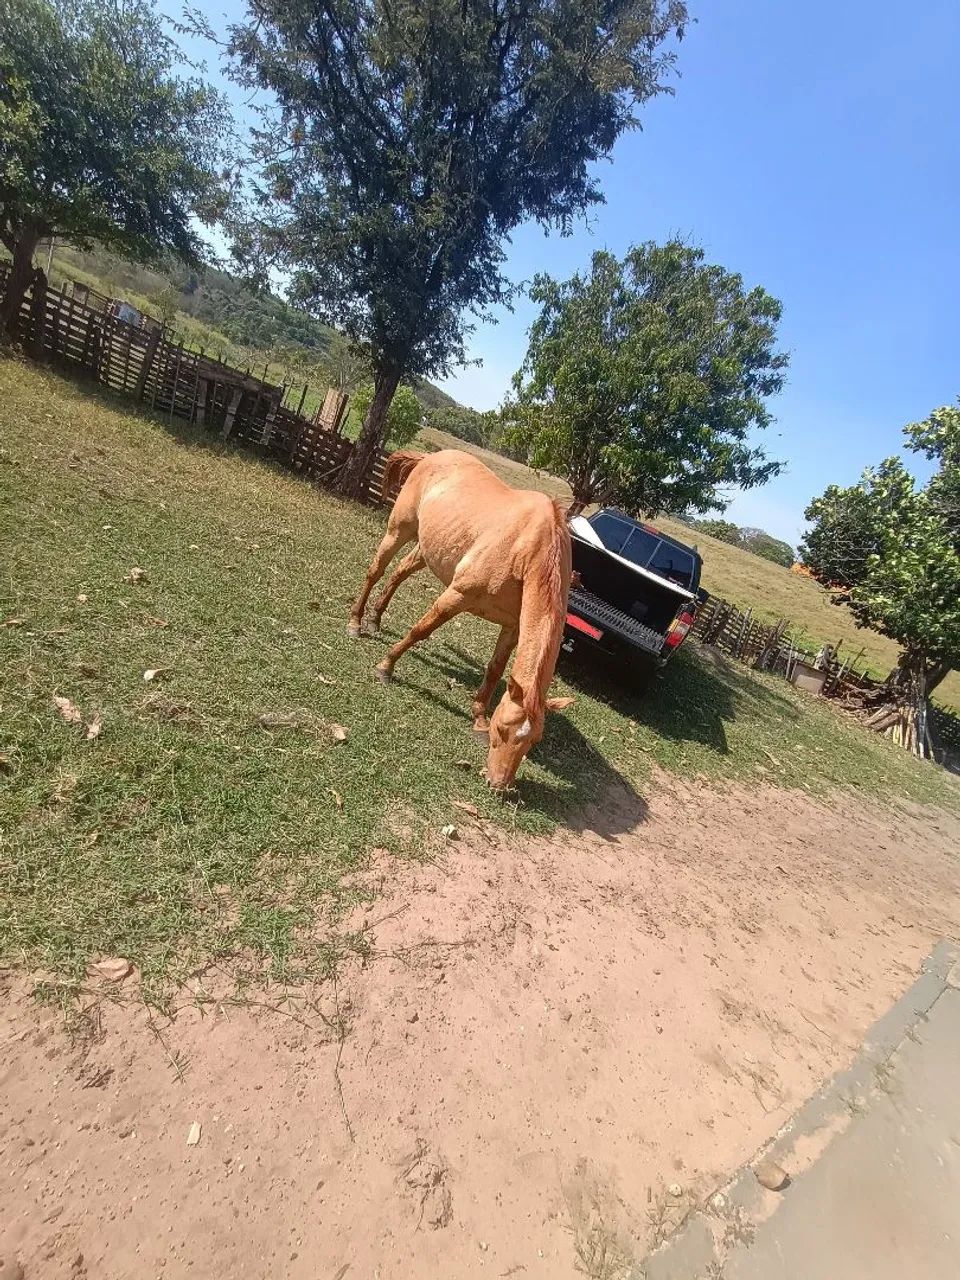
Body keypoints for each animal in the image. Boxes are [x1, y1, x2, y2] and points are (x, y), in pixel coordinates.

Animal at [348, 448, 574, 789]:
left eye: (533, 742)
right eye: (503, 730)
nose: (499, 783)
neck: (525, 550)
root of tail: (431, 457)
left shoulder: (513, 627)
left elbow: (495, 670)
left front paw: (478, 717)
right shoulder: (456, 596)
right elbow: (420, 630)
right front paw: (385, 667)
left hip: (428, 549)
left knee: (400, 571)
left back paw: (375, 618)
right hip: (399, 530)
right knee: (376, 570)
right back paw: (356, 622)